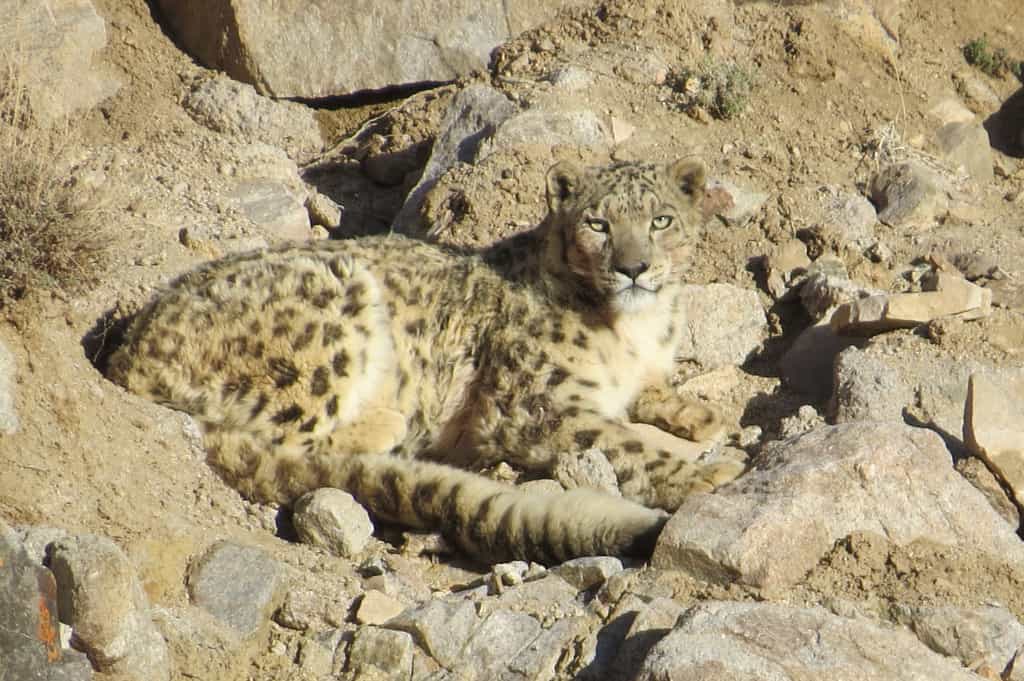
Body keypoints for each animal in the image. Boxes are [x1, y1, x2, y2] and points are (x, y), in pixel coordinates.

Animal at [107, 157, 745, 565]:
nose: (634, 268)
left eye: (661, 220)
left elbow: (651, 393)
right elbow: (622, 441)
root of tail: (129, 355)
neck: (637, 327)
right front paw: (709, 471)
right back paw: (394, 427)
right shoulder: (535, 405)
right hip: (329, 314)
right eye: (598, 223)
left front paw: (701, 413)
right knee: (294, 445)